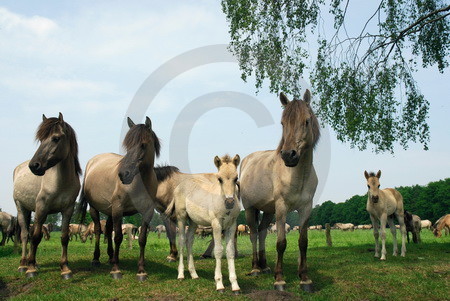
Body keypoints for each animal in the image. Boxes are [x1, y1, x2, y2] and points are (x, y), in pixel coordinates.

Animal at [12, 113, 81, 278]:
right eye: (41, 139)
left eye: (55, 138)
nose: (34, 166)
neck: (60, 182)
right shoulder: (42, 208)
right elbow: (36, 237)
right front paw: (30, 269)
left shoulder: (67, 210)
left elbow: (64, 237)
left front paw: (65, 268)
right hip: (21, 208)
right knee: (25, 235)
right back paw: (24, 264)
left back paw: (33, 262)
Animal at [79, 116, 160, 280]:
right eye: (127, 145)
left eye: (143, 145)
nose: (123, 174)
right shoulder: (118, 209)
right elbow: (118, 237)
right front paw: (116, 270)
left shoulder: (147, 211)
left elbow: (142, 239)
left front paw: (141, 270)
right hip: (95, 209)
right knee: (98, 230)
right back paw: (96, 259)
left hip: (109, 211)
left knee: (108, 229)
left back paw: (111, 257)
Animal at [165, 154, 243, 292]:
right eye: (219, 179)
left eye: (236, 178)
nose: (229, 202)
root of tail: (179, 186)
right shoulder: (216, 224)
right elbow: (218, 251)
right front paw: (219, 284)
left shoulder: (232, 225)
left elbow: (230, 252)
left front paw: (235, 286)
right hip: (181, 218)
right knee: (181, 241)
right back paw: (181, 275)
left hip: (193, 222)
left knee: (189, 241)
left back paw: (194, 274)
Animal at [239, 89, 320, 290]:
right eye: (283, 123)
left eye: (306, 121)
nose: (288, 155)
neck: (298, 175)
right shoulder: (282, 208)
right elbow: (281, 243)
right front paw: (279, 280)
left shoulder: (306, 208)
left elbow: (303, 242)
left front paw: (305, 278)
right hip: (250, 209)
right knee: (253, 234)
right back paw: (255, 268)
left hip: (268, 211)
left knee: (261, 232)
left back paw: (265, 266)